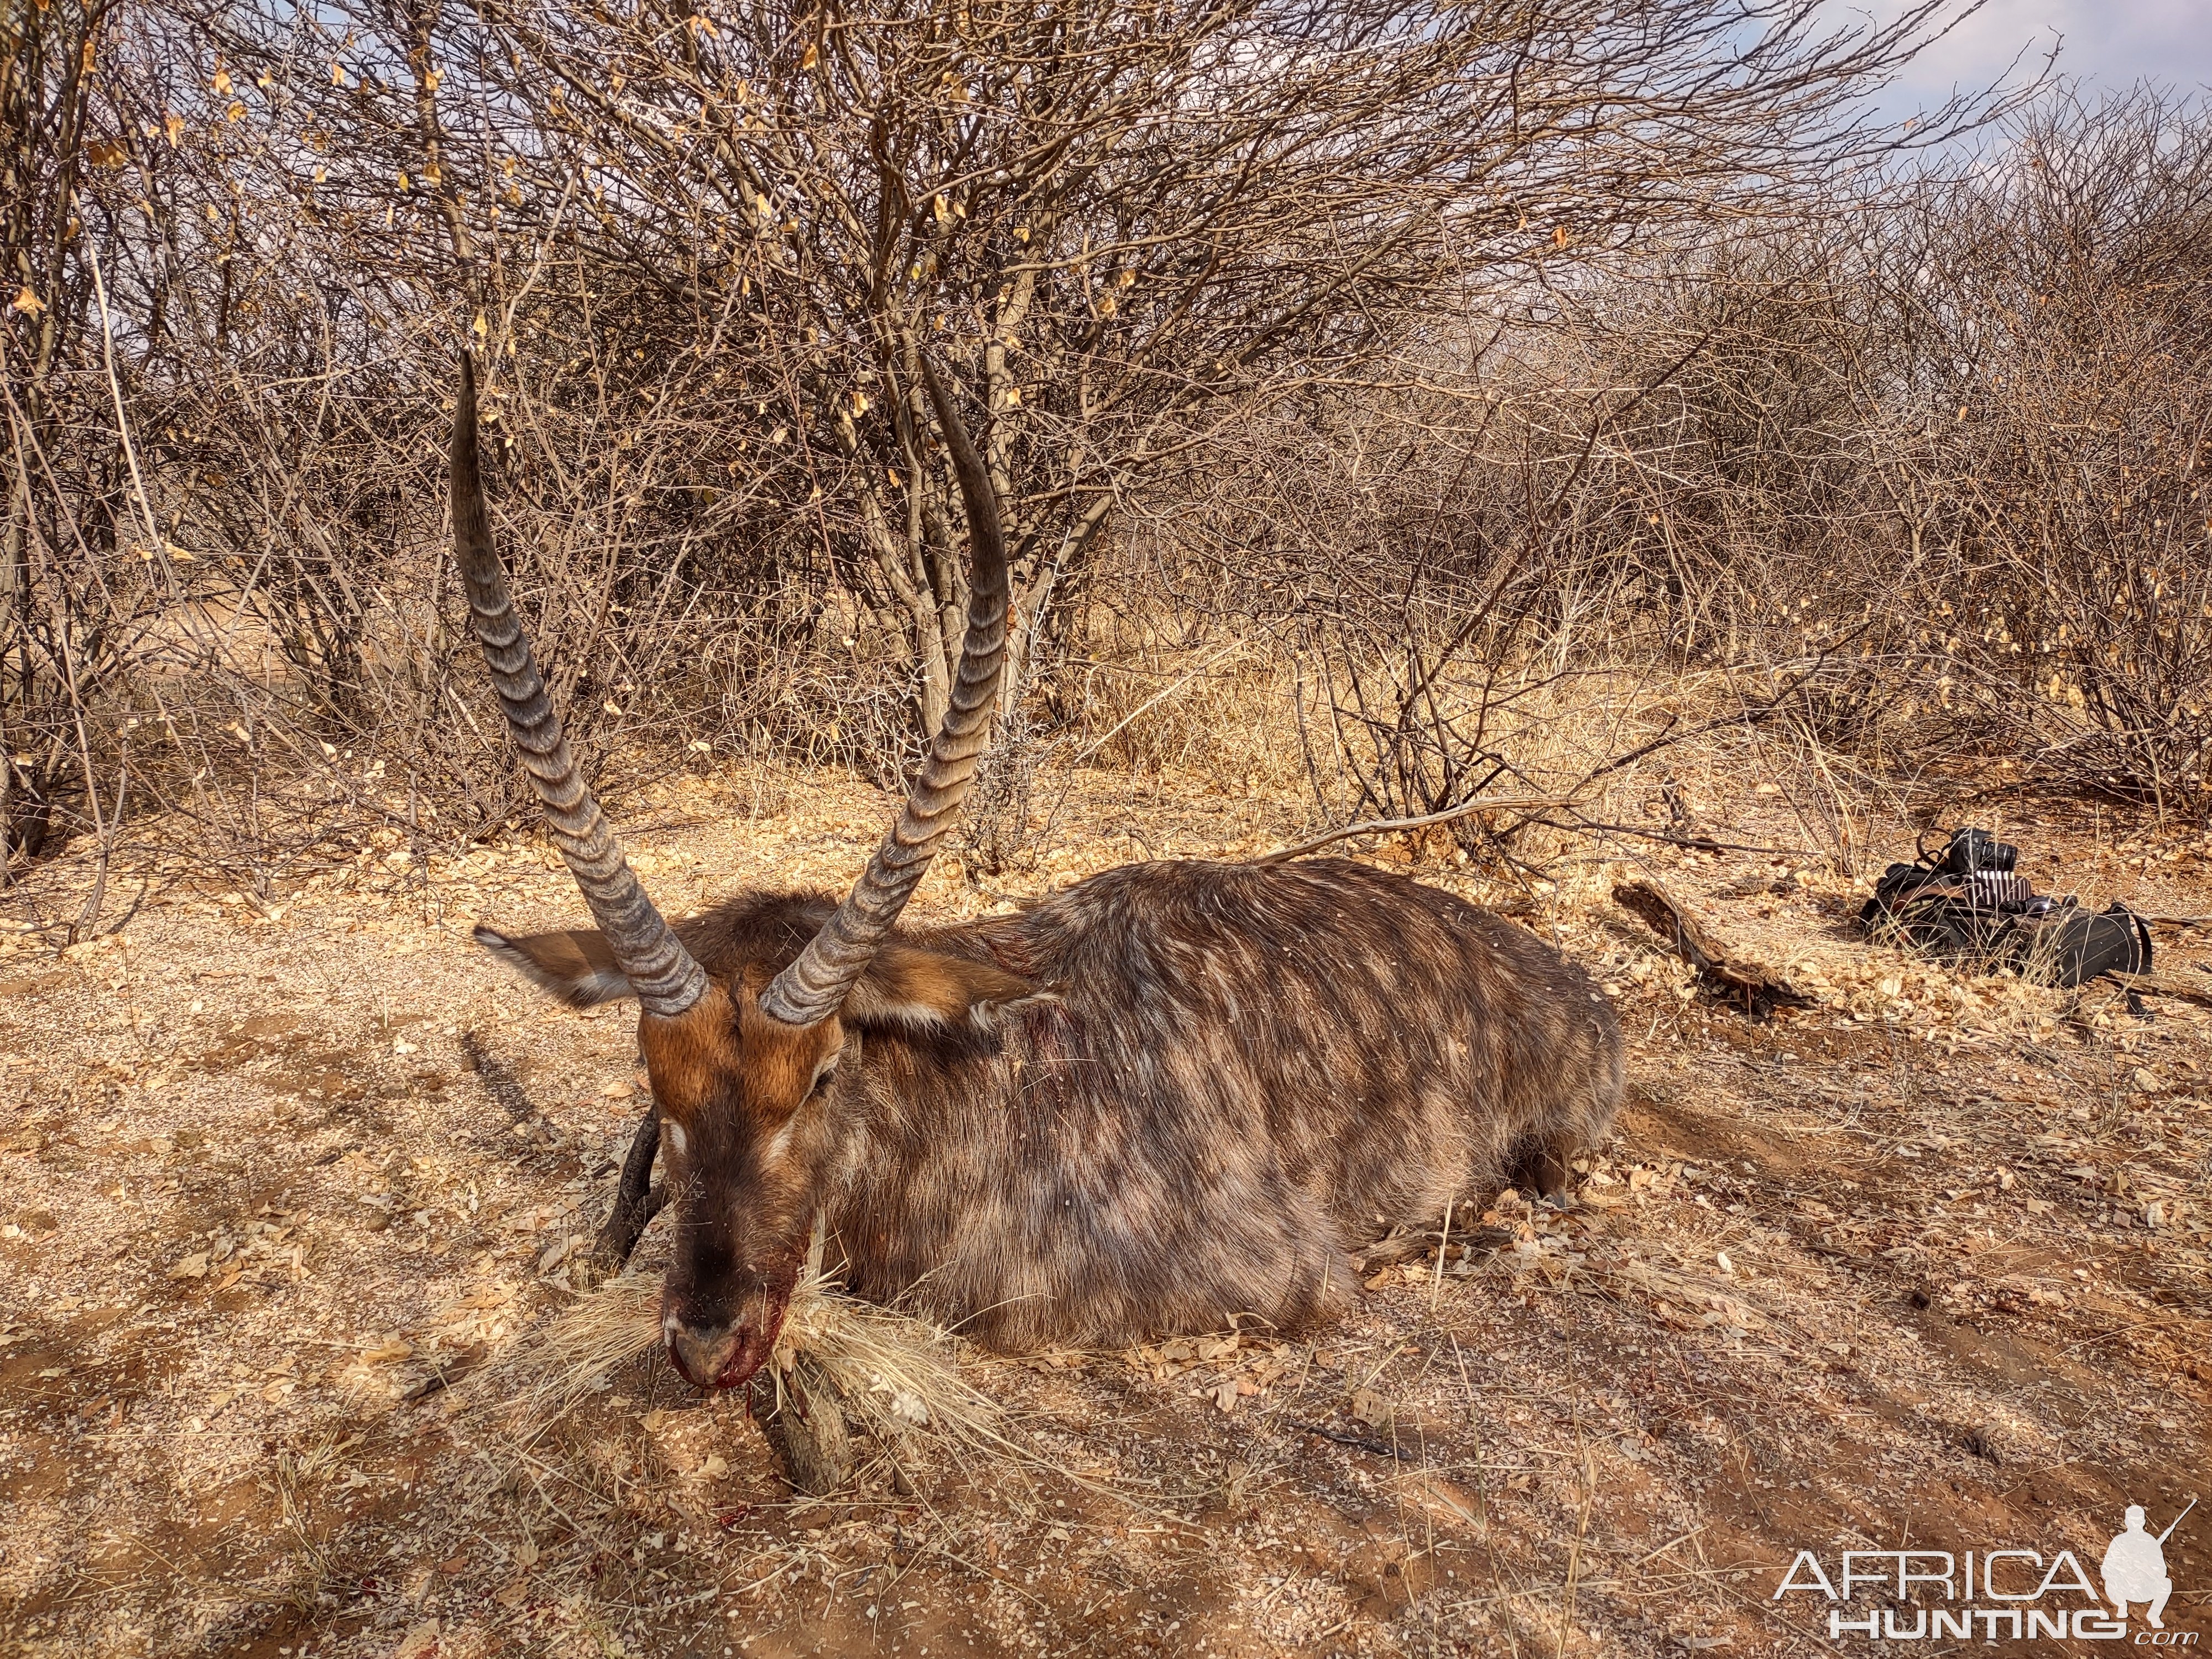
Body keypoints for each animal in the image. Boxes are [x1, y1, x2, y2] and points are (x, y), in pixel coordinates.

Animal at [449, 352, 1628, 1407]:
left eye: (824, 1076)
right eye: (656, 1081)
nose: (706, 1343)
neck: (962, 1100)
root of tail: (1568, 981)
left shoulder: (1265, 1277)